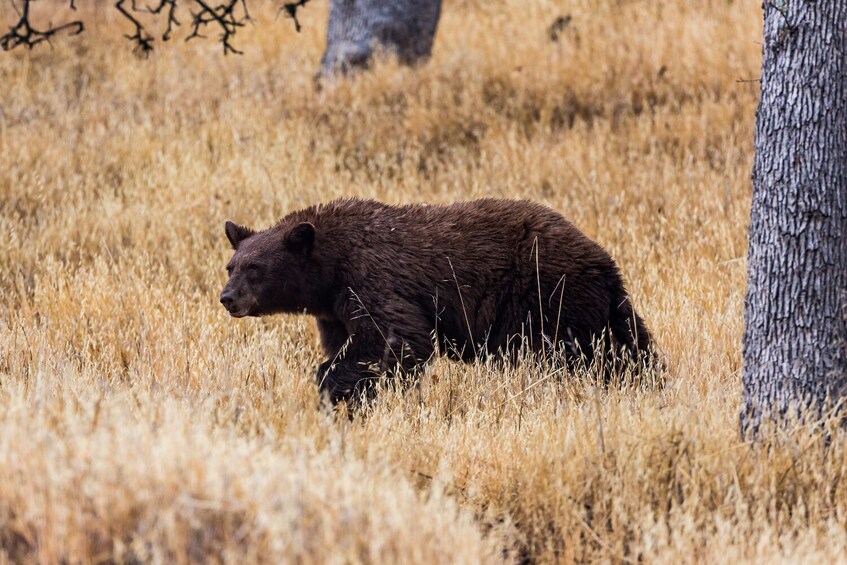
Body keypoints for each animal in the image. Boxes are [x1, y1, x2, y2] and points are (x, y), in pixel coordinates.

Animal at [219, 198, 656, 400]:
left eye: (254, 268)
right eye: (231, 266)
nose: (227, 298)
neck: (330, 269)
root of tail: (603, 259)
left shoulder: (372, 280)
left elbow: (397, 340)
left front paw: (337, 388)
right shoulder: (335, 312)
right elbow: (351, 343)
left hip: (547, 298)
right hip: (598, 309)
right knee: (629, 348)